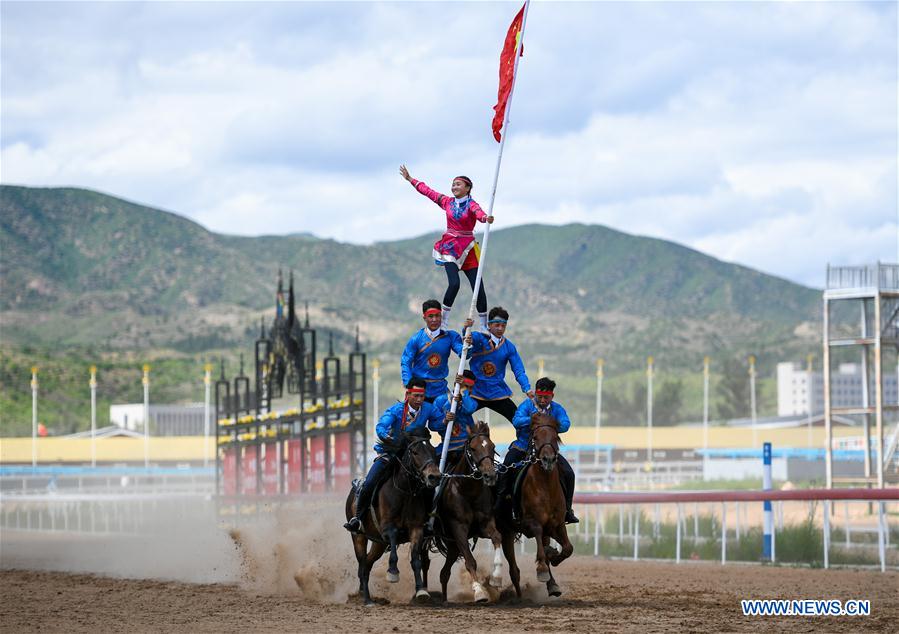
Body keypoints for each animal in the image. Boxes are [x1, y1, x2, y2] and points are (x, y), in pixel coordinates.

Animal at [344, 428, 442, 604]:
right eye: (415, 451)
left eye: (433, 450)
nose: (434, 476)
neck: (404, 491)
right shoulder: (387, 528)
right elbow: (394, 544)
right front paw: (393, 573)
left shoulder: (416, 529)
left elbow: (416, 559)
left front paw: (421, 591)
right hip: (358, 536)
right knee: (362, 563)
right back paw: (367, 600)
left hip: (378, 543)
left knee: (367, 564)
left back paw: (365, 594)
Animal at [430, 420, 502, 604]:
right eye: (473, 448)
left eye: (492, 446)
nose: (490, 475)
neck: (468, 490)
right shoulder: (458, 528)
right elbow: (470, 561)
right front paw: (479, 591)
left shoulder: (485, 523)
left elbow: (497, 537)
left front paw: (496, 577)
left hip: (452, 545)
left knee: (444, 573)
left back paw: (444, 600)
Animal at [500, 412, 576, 596]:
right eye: (535, 437)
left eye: (555, 436)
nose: (548, 459)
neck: (545, 487)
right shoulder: (530, 522)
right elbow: (538, 534)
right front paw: (541, 568)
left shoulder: (557, 524)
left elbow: (568, 548)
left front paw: (553, 556)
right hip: (506, 532)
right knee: (514, 570)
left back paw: (552, 584)